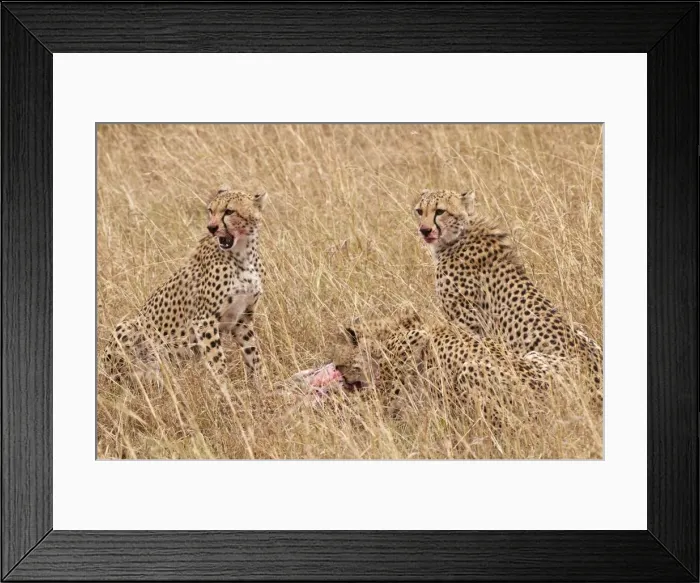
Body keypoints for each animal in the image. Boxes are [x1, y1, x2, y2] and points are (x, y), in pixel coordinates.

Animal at [101, 186, 267, 388]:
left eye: (229, 211)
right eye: (211, 210)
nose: (211, 227)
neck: (243, 254)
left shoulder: (242, 318)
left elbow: (254, 355)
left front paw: (262, 386)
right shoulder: (204, 321)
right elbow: (217, 361)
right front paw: (226, 389)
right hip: (128, 326)